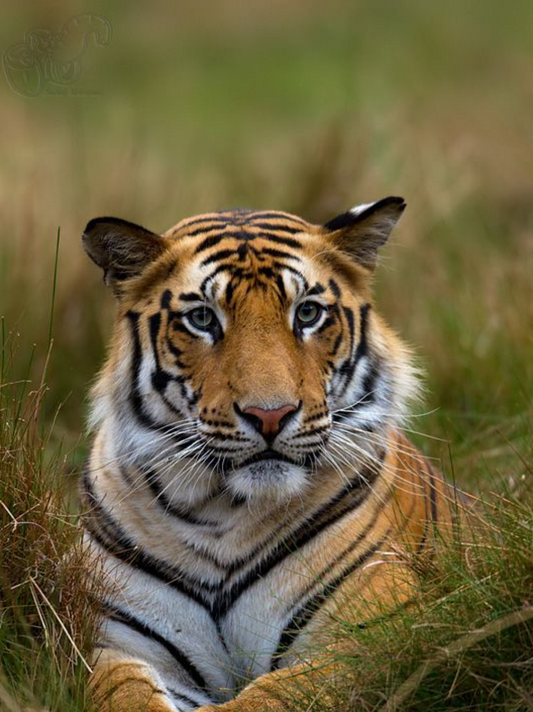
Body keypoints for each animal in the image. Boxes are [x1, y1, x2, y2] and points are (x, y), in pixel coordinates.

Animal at [81, 197, 460, 712]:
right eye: (203, 319)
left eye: (308, 314)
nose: (270, 415)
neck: (221, 513)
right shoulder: (117, 642)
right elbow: (125, 694)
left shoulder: (373, 628)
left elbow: (273, 695)